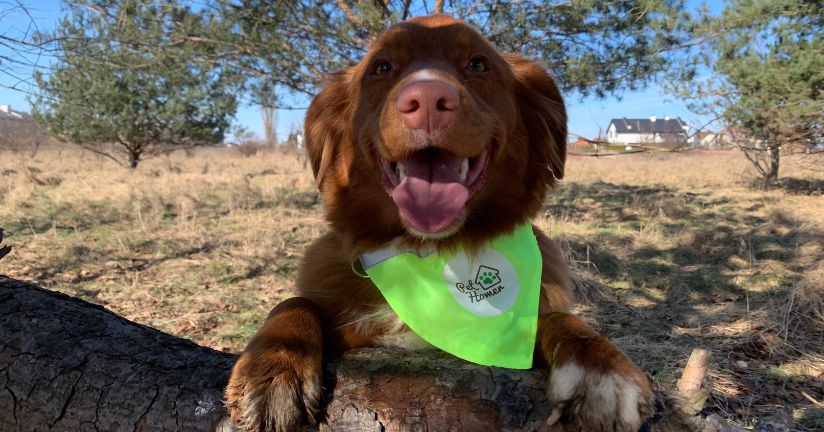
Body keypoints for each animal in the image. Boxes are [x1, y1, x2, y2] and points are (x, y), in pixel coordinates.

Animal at [224, 14, 652, 432]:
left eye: (477, 63)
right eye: (382, 67)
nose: (427, 100)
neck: (429, 250)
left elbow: (563, 320)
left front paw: (600, 367)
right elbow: (293, 302)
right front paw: (275, 366)